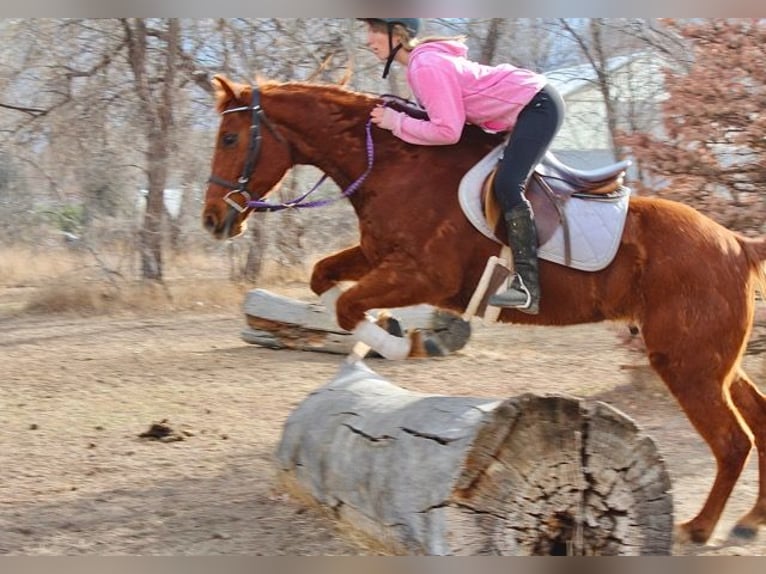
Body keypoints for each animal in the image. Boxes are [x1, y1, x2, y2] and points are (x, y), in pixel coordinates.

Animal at [202, 74, 766, 548]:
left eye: (229, 139)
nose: (212, 220)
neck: (394, 165)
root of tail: (737, 244)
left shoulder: (424, 275)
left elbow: (347, 303)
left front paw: (398, 342)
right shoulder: (378, 257)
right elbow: (325, 281)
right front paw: (369, 338)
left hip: (687, 363)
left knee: (732, 441)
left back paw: (699, 528)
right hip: (712, 360)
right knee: (757, 418)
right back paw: (748, 521)